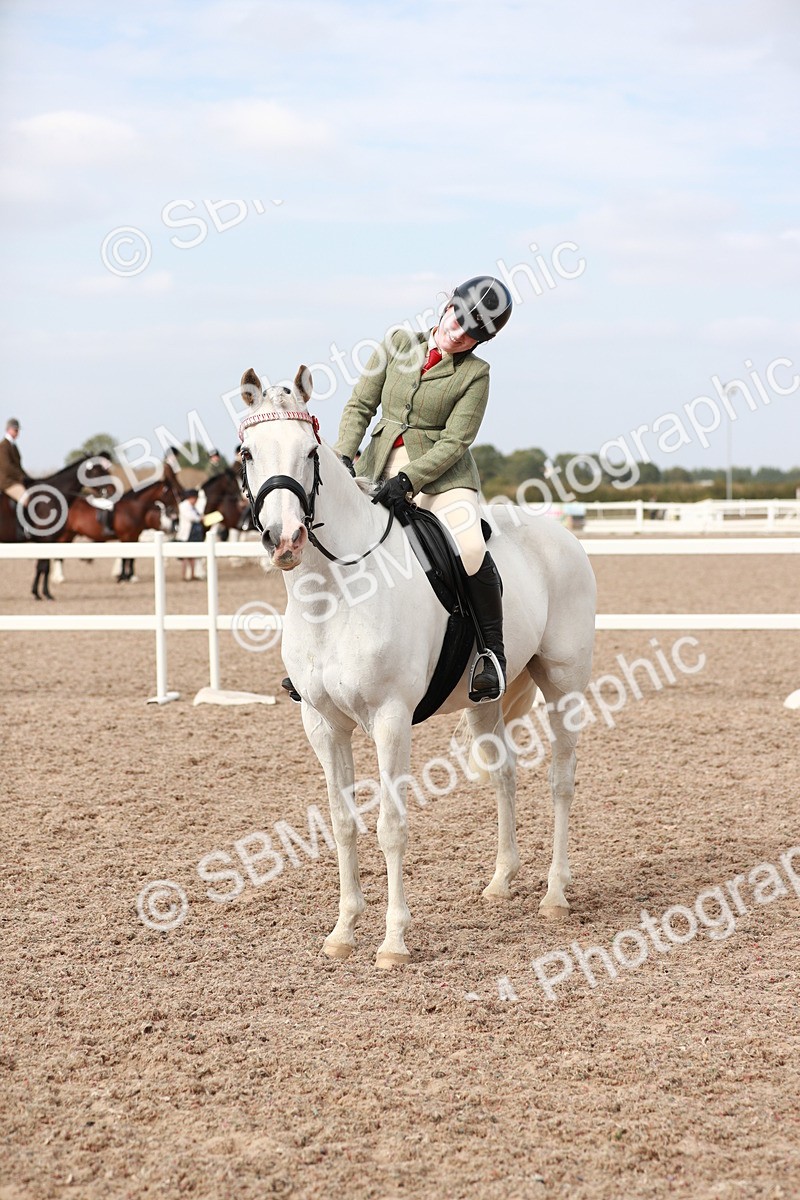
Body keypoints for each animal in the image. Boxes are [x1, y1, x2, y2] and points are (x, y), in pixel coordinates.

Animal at [237, 365, 596, 970]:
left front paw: (394, 942)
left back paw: (554, 894)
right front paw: (343, 931)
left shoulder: (390, 719)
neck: (334, 592)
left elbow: (391, 826)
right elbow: (342, 823)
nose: (284, 540)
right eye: (246, 453)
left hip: (564, 685)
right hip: (484, 703)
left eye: (310, 451)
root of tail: (562, 535)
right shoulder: (322, 724)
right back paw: (501, 882)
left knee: (561, 780)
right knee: (504, 775)